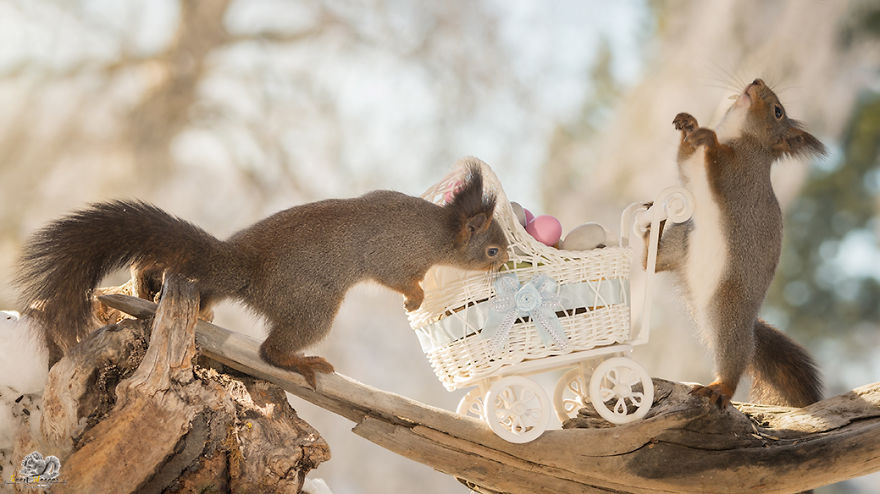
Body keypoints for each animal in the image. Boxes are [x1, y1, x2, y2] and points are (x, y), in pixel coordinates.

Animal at [15, 159, 509, 387]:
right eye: (491, 249)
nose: (505, 262)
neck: (438, 231)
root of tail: (246, 266)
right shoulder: (396, 255)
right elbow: (399, 280)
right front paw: (416, 298)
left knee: (208, 293)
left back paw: (203, 311)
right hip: (314, 306)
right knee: (270, 349)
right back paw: (302, 362)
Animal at [647, 79, 826, 408]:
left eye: (778, 111)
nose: (757, 81)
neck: (738, 136)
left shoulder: (738, 171)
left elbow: (716, 160)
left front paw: (706, 136)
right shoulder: (694, 165)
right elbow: (684, 160)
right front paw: (688, 125)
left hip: (729, 316)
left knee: (733, 359)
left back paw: (719, 388)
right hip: (682, 239)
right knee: (653, 261)